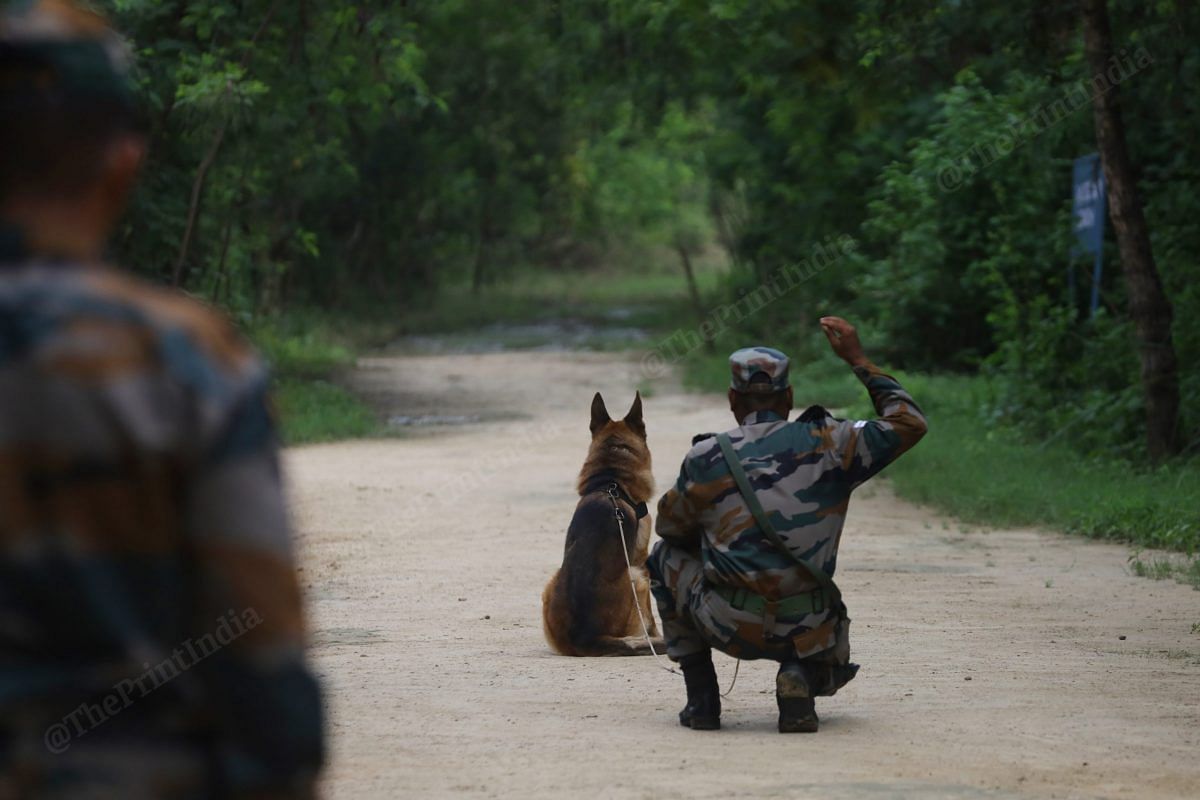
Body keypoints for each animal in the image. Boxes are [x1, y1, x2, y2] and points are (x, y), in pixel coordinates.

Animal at [540, 388, 662, 657]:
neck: (611, 480)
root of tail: (585, 638)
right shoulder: (642, 562)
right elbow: (651, 618)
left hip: (549, 584)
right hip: (637, 578)